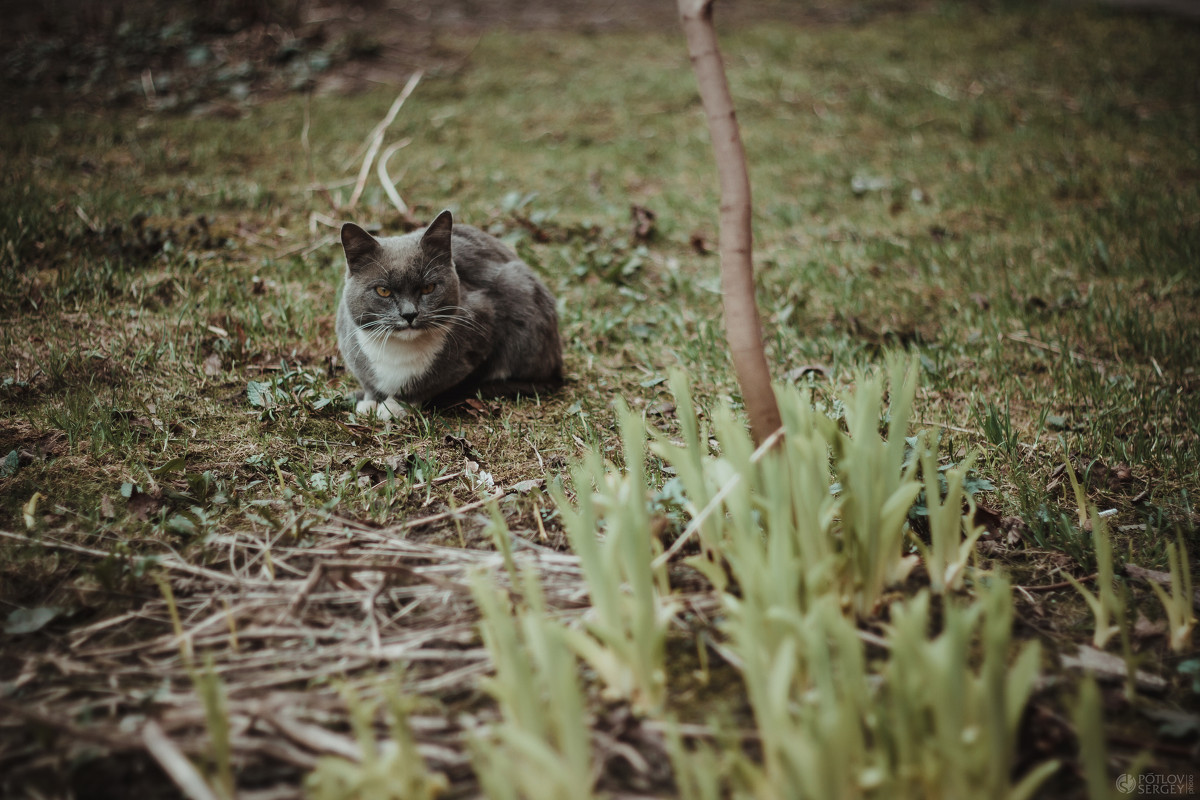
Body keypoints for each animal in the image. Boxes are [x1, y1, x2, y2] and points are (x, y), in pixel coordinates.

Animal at [336, 208, 564, 419]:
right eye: (383, 291)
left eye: (428, 287)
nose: (409, 314)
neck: (398, 350)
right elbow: (369, 383)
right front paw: (369, 402)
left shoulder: (476, 336)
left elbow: (426, 383)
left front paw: (395, 406)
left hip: (518, 292)